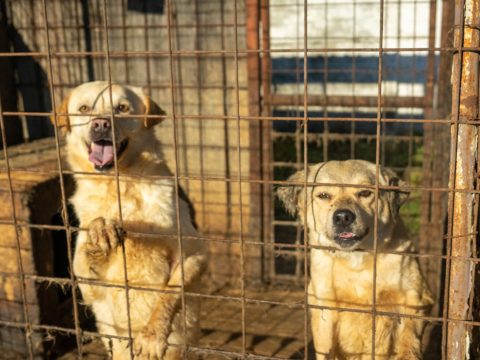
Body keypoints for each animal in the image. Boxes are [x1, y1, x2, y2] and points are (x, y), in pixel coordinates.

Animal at [52, 81, 206, 360]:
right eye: (84, 108)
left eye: (122, 108)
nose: (101, 124)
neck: (118, 186)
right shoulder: (87, 287)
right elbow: (86, 255)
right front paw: (100, 230)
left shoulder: (194, 252)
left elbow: (170, 292)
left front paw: (152, 335)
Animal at [276, 161, 434, 360]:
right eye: (324, 195)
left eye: (365, 193)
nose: (343, 217)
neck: (356, 262)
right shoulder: (324, 306)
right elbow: (325, 347)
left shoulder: (416, 297)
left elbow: (409, 336)